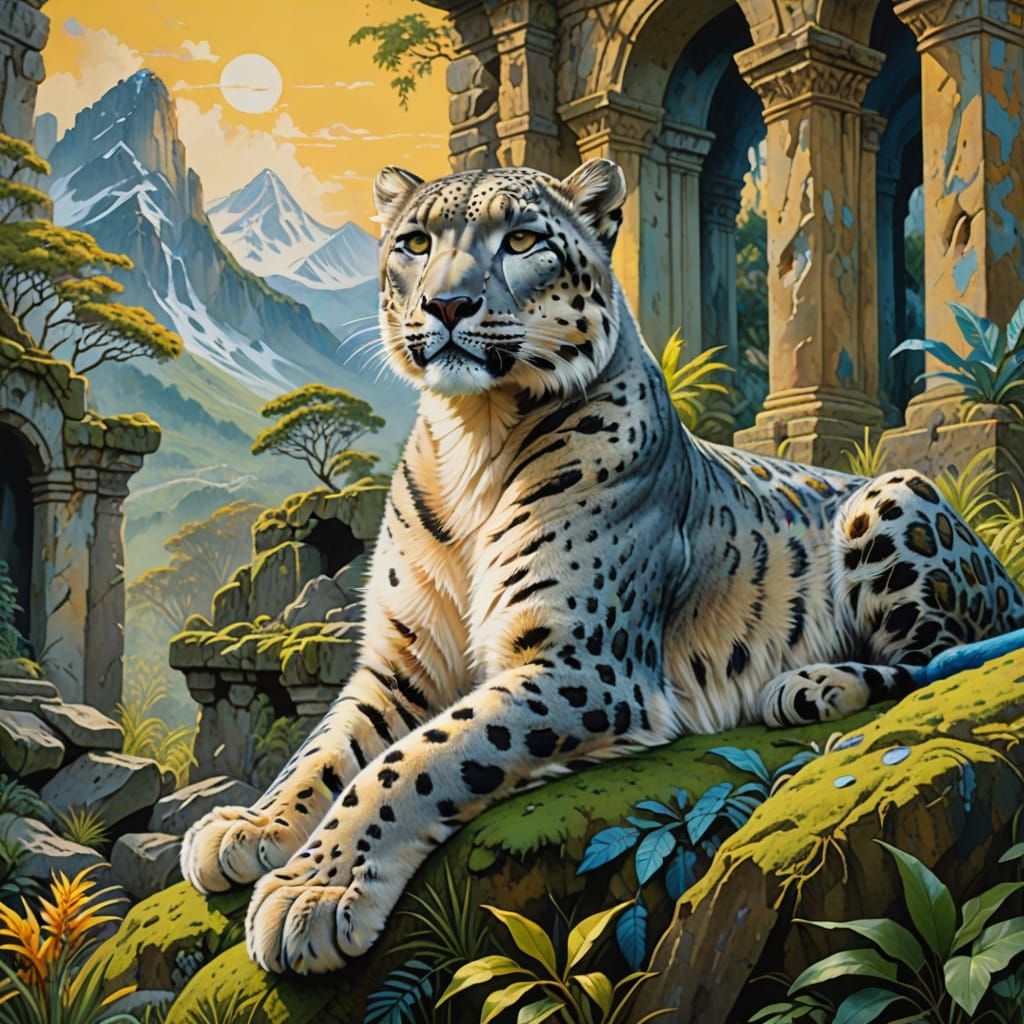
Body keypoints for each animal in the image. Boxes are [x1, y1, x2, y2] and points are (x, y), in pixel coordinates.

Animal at [180, 158, 1024, 975]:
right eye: (416, 242)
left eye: (521, 240)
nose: (447, 304)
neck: (470, 439)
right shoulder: (402, 664)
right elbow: (326, 748)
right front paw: (250, 826)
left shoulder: (582, 663)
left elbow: (418, 760)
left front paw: (313, 892)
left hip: (894, 497)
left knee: (934, 657)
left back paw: (812, 684)